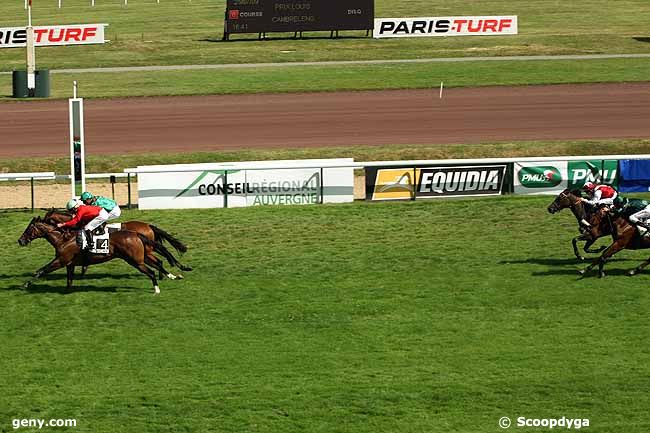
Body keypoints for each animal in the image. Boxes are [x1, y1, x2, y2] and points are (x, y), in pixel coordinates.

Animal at [18, 216, 180, 294]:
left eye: (28, 229)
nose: (20, 240)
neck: (63, 239)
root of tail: (137, 233)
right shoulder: (70, 264)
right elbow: (69, 280)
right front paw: (67, 292)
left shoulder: (61, 261)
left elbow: (42, 270)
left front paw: (25, 284)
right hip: (141, 256)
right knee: (158, 263)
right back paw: (170, 276)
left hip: (136, 260)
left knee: (151, 271)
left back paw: (157, 289)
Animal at [42, 208, 190, 276]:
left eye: (46, 219)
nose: (42, 225)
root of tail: (147, 225)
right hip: (148, 248)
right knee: (161, 254)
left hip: (147, 248)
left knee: (162, 254)